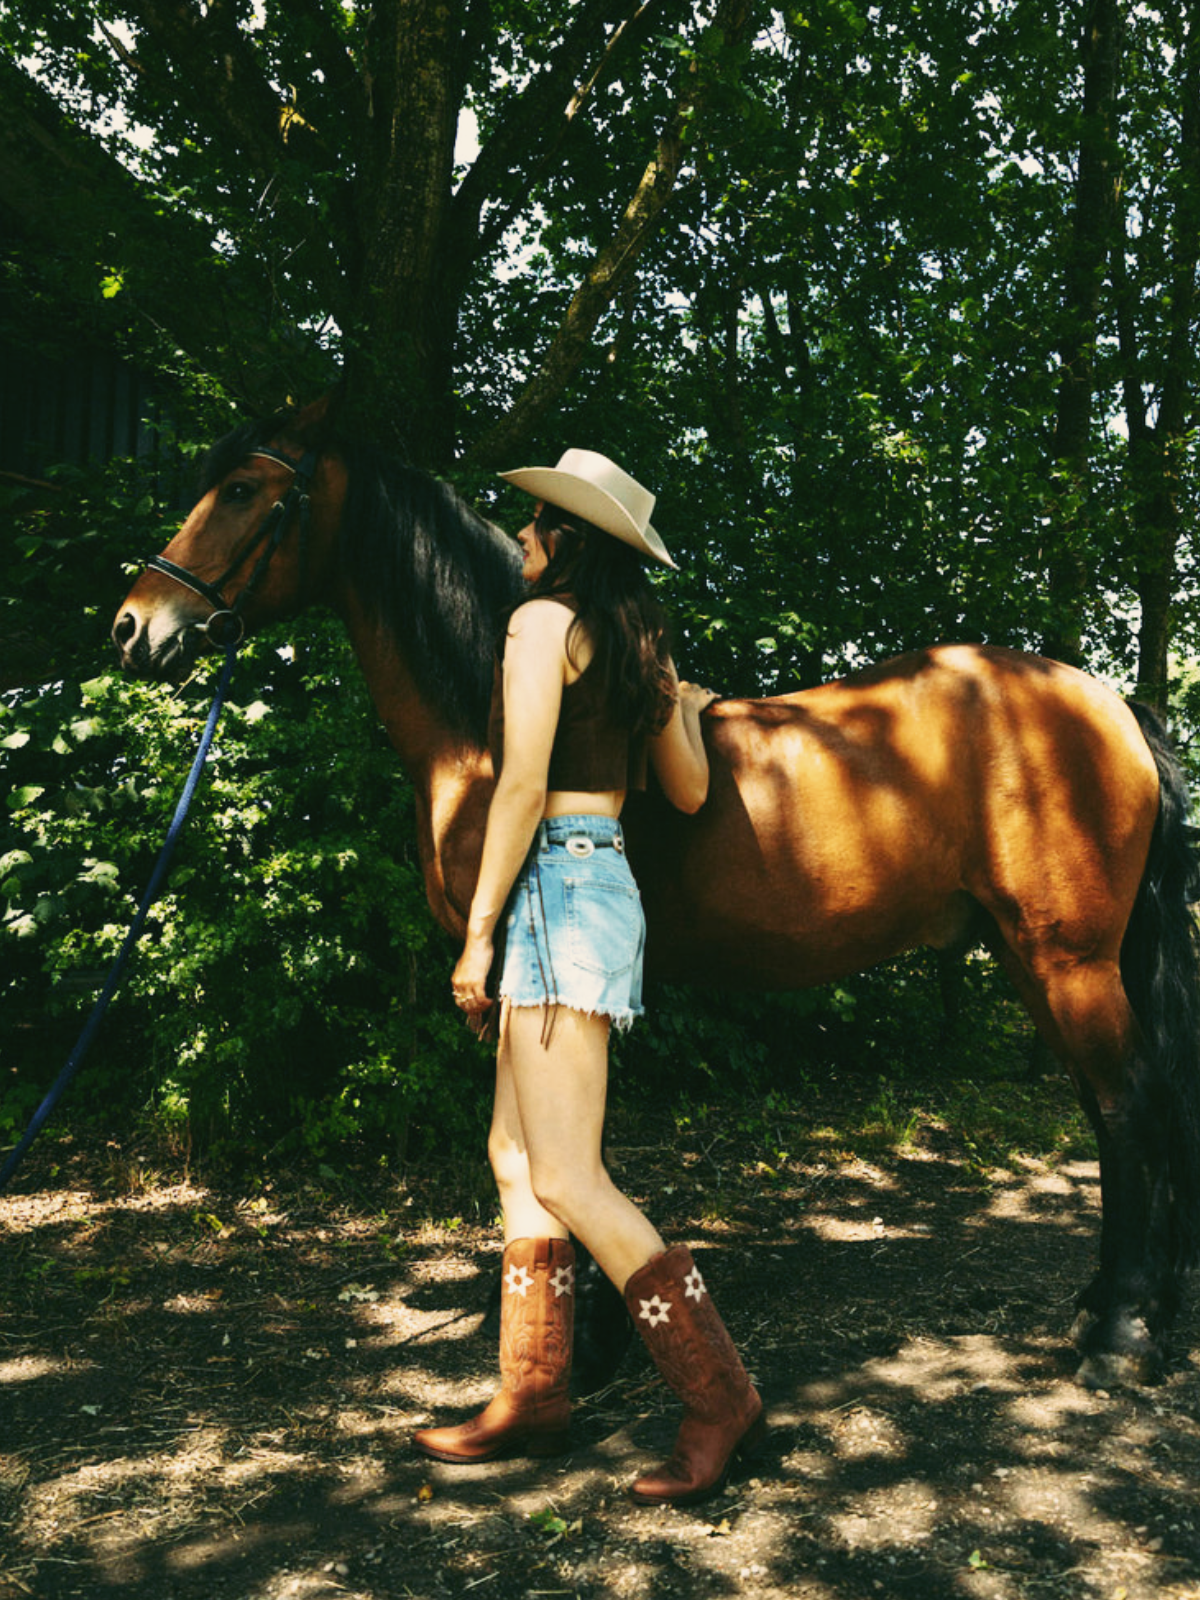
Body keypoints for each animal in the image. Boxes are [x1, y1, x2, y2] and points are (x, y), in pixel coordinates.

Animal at [112, 400, 1200, 1388]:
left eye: (242, 489)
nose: (135, 626)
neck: (486, 730)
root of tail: (1110, 702)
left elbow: (561, 1148)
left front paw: (588, 1340)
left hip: (1068, 961)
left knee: (1134, 1107)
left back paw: (1122, 1337)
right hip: (1034, 957)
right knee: (1112, 1111)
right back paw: (1107, 1307)